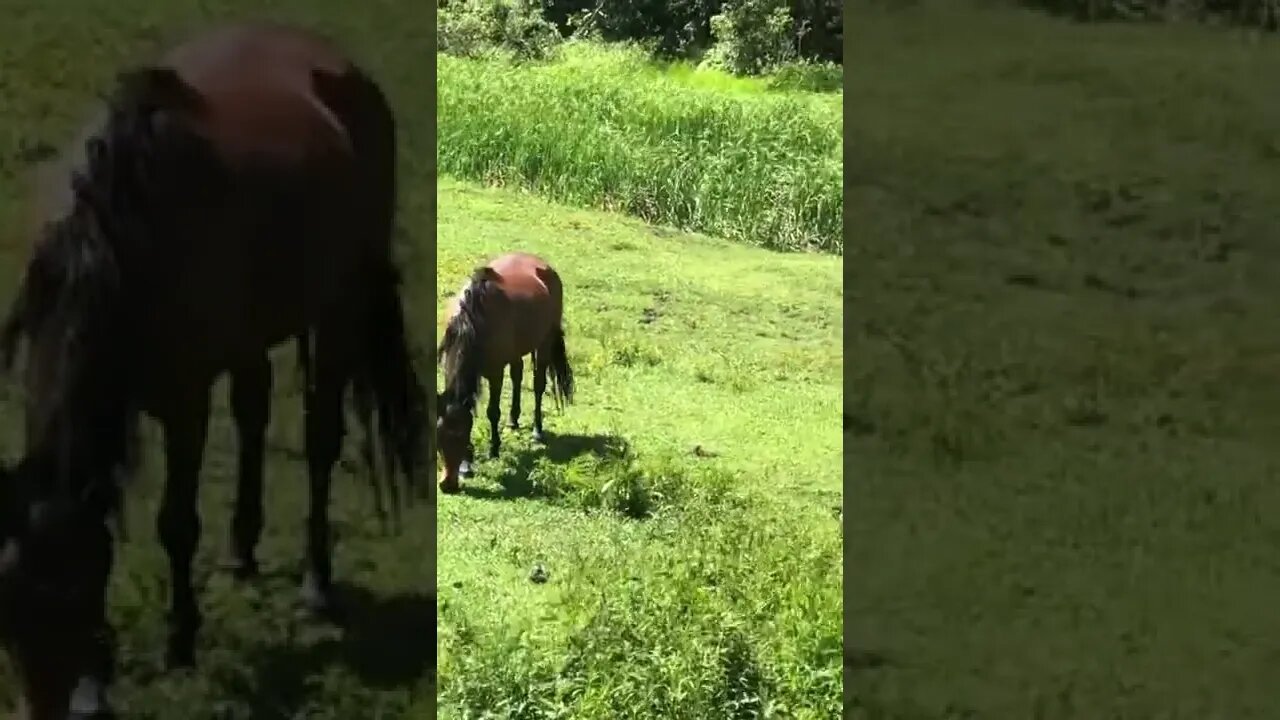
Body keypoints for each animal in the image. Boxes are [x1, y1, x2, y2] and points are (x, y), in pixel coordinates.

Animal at [0, 23, 429, 720]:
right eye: (8, 611)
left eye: (79, 590)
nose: (57, 706)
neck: (117, 244)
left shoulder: (185, 401)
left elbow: (176, 524)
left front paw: (181, 638)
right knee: (254, 413)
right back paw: (241, 549)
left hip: (337, 311)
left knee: (320, 441)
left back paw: (315, 581)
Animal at [437, 253, 575, 494]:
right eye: (438, 437)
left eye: (462, 435)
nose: (447, 484)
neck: (473, 320)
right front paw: (467, 465)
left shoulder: (495, 372)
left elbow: (492, 412)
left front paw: (493, 449)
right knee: (517, 376)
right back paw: (513, 421)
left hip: (544, 344)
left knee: (538, 385)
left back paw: (537, 431)